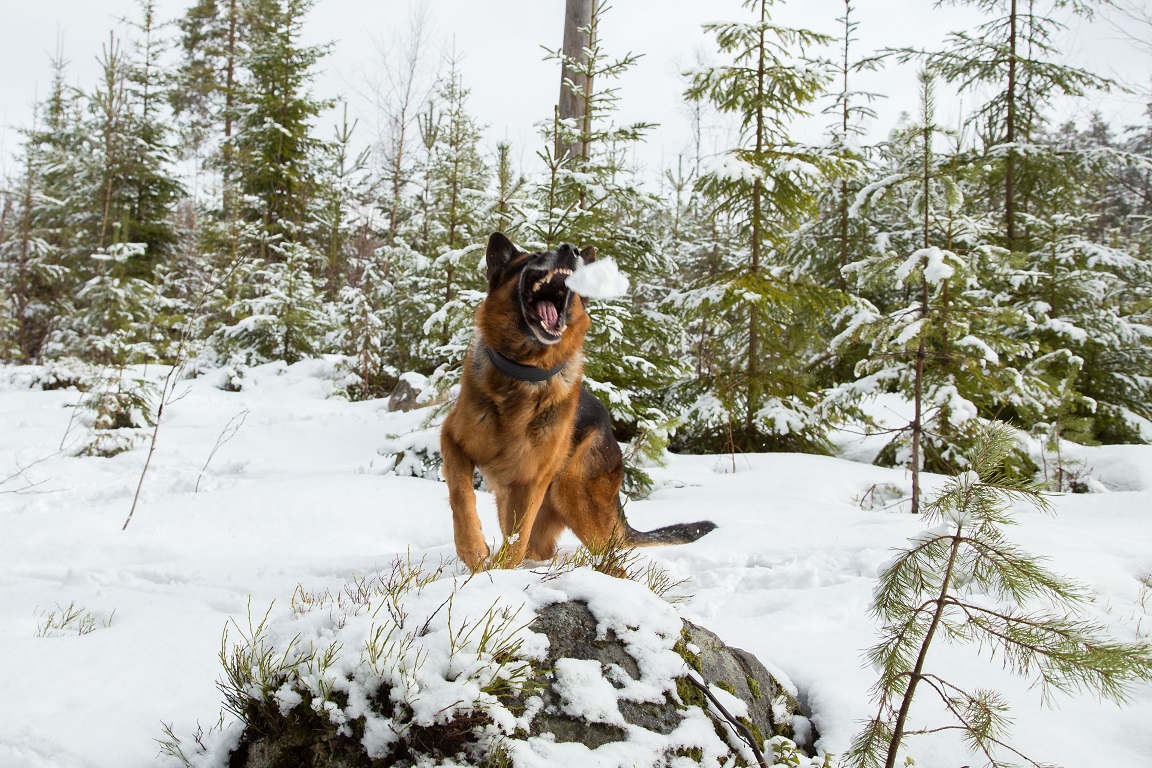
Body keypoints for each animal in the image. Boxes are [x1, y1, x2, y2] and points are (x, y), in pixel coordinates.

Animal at [437, 232, 709, 571]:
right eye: (534, 256)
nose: (571, 250)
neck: (526, 373)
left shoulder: (533, 481)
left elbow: (517, 536)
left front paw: (499, 571)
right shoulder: (452, 440)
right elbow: (461, 494)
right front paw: (473, 549)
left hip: (573, 491)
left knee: (608, 553)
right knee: (539, 546)